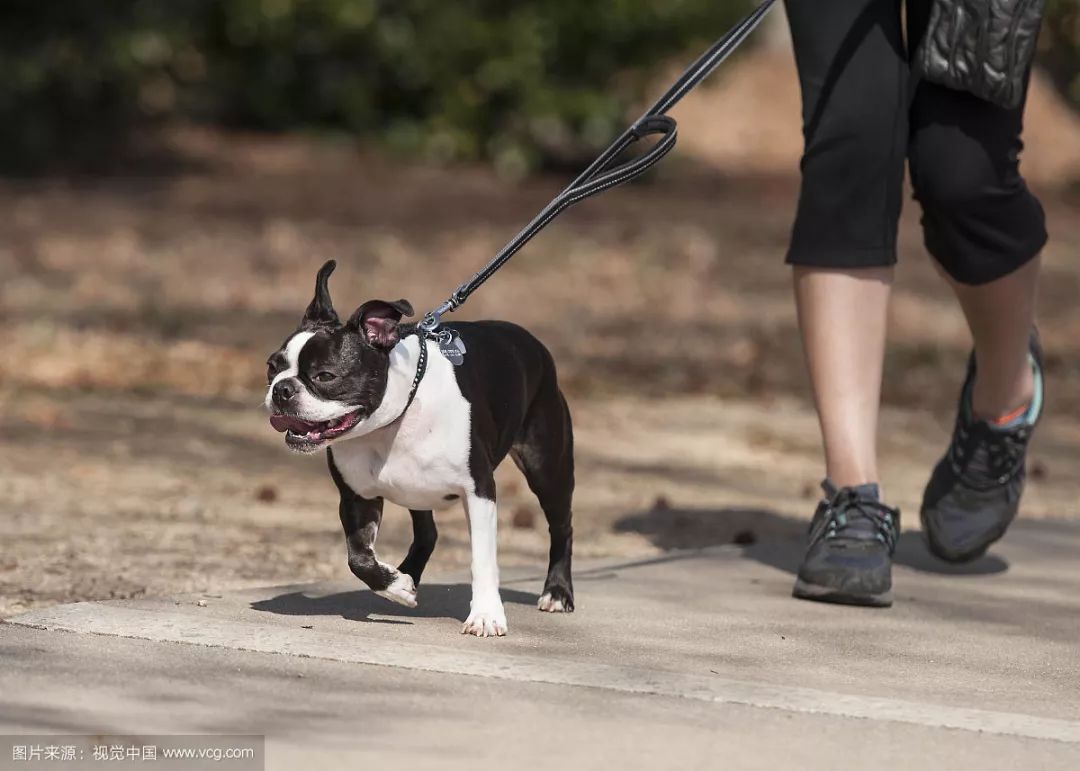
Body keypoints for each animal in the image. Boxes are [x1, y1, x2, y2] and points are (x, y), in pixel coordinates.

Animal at [262, 261, 574, 634]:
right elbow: (358, 557)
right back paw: (405, 575)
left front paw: (486, 614)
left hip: (546, 467)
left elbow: (482, 559)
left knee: (561, 525)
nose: (282, 389)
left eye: (325, 376)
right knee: (428, 532)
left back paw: (557, 592)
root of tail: (531, 341)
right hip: (417, 490)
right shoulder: (356, 498)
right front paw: (395, 585)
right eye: (271, 367)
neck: (391, 422)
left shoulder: (480, 491)